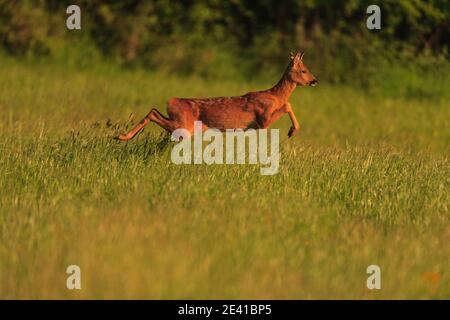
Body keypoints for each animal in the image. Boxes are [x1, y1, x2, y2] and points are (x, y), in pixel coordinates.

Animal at [117, 52, 320, 141]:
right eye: (304, 70)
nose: (315, 80)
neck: (275, 95)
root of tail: (171, 101)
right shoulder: (263, 120)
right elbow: (287, 105)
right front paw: (292, 131)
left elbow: (288, 105)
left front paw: (292, 130)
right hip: (184, 125)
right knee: (153, 113)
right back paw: (122, 137)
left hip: (185, 125)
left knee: (154, 110)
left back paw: (121, 136)